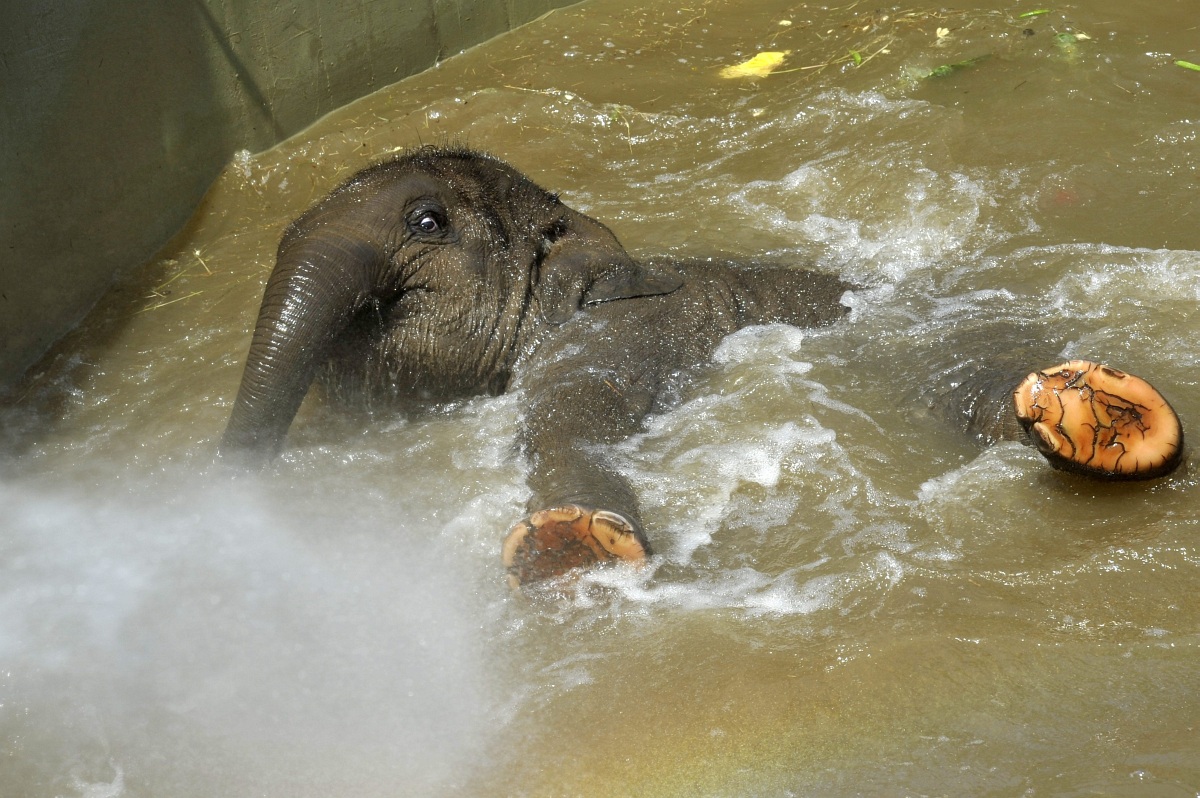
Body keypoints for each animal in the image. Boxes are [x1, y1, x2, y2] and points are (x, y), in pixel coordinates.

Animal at [223, 147, 1180, 585]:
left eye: (426, 222)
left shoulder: (609, 336)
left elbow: (577, 406)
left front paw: (570, 537)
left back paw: (1097, 407)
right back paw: (1097, 419)